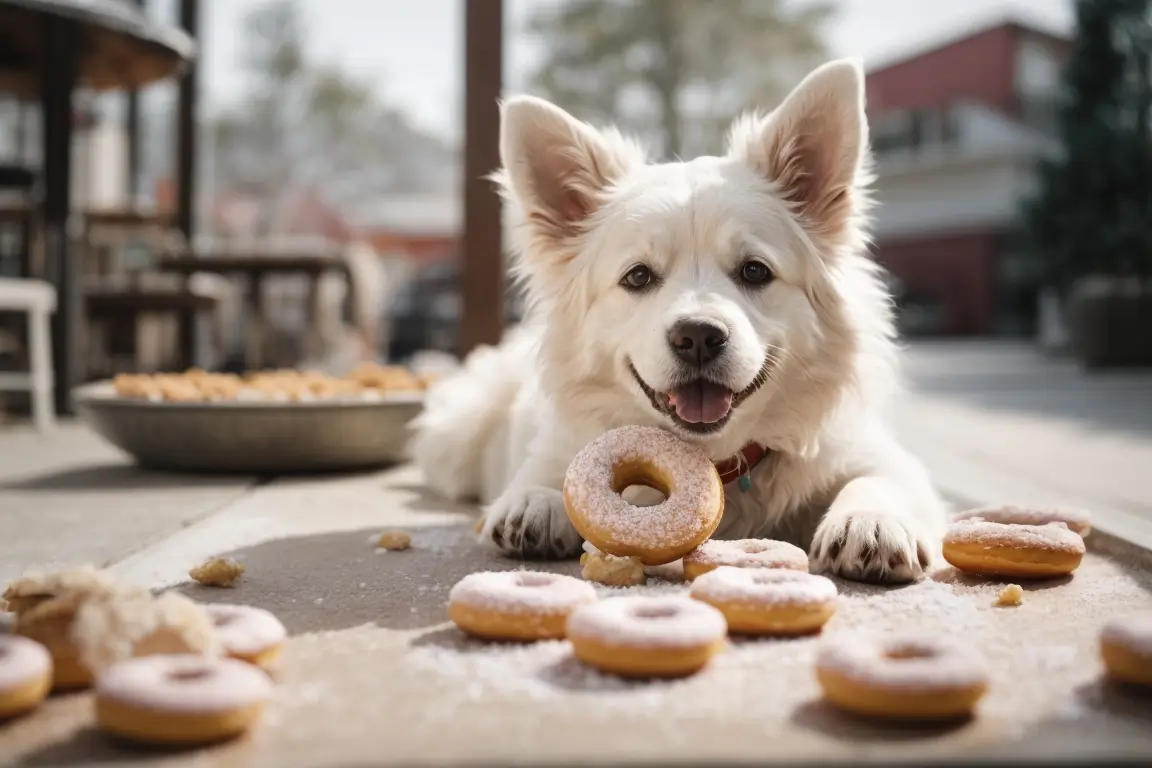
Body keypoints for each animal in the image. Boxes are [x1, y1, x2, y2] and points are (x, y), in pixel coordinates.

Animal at [414, 58, 944, 582]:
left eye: (755, 270)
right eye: (638, 276)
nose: (698, 336)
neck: (713, 461)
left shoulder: (880, 456)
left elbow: (880, 479)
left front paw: (871, 521)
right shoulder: (557, 447)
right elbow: (543, 476)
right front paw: (536, 503)